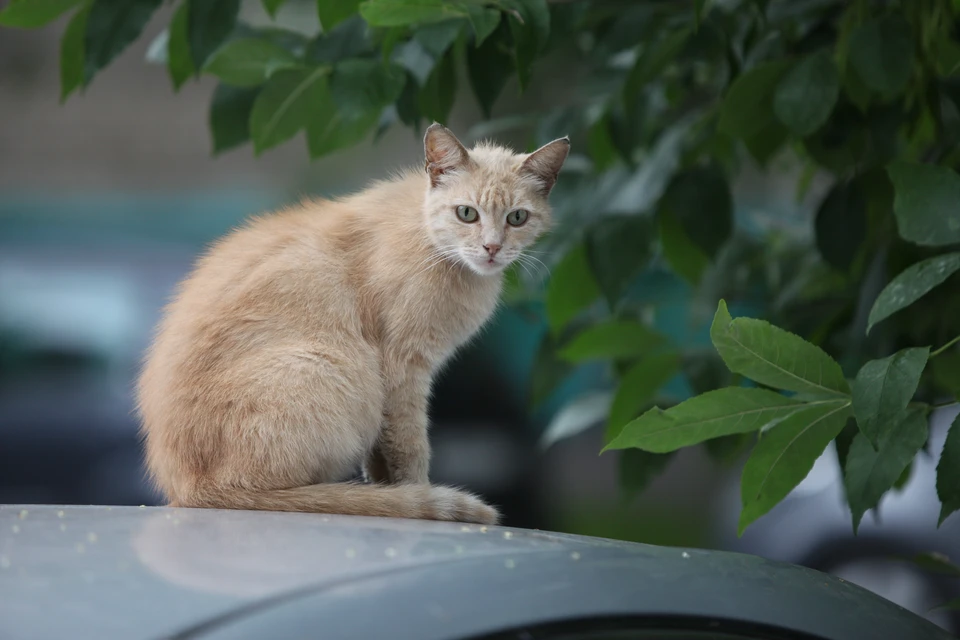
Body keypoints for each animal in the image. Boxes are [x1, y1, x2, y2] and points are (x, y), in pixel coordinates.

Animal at [136, 124, 568, 524]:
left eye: (517, 217)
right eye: (467, 213)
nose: (492, 248)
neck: (430, 242)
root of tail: (190, 488)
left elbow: (383, 453)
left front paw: (392, 491)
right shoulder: (402, 368)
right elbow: (410, 445)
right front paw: (417, 493)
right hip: (332, 367)